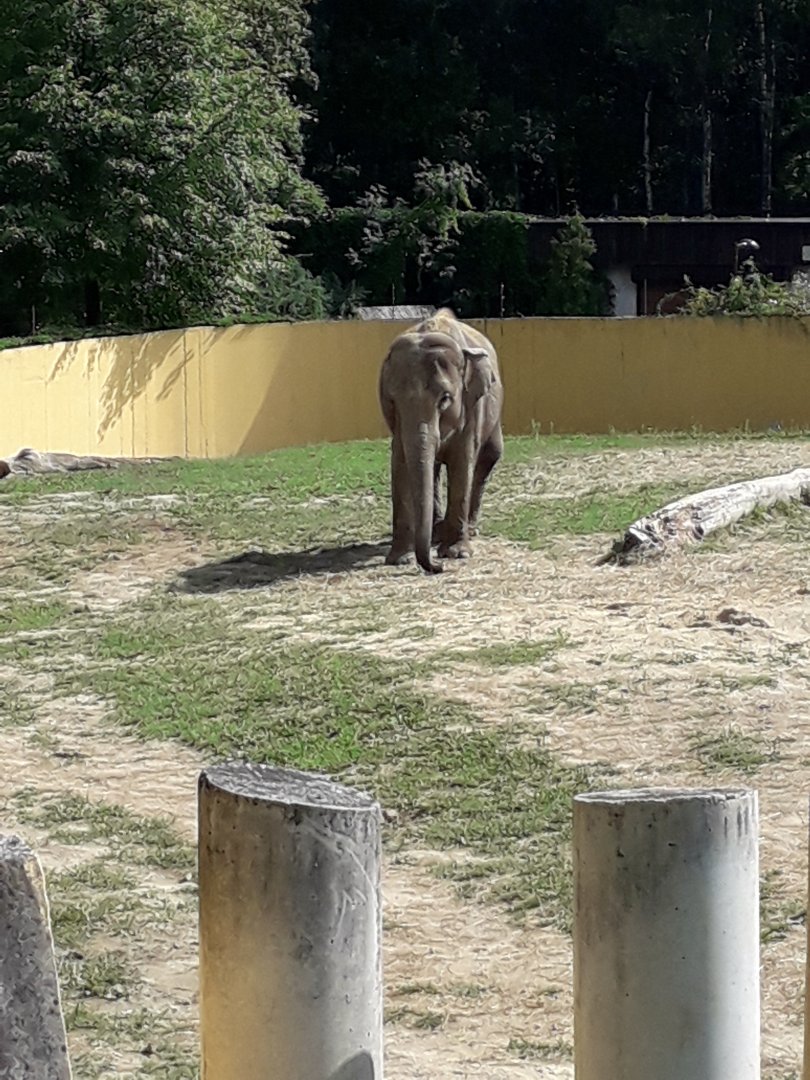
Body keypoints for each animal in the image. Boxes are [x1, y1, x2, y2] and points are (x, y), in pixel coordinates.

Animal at [378, 309, 503, 573]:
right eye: (392, 401)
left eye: (445, 399)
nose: (437, 566)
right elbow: (400, 463)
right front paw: (400, 559)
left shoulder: (472, 406)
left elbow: (463, 461)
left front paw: (457, 554)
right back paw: (436, 534)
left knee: (489, 457)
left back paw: (470, 531)